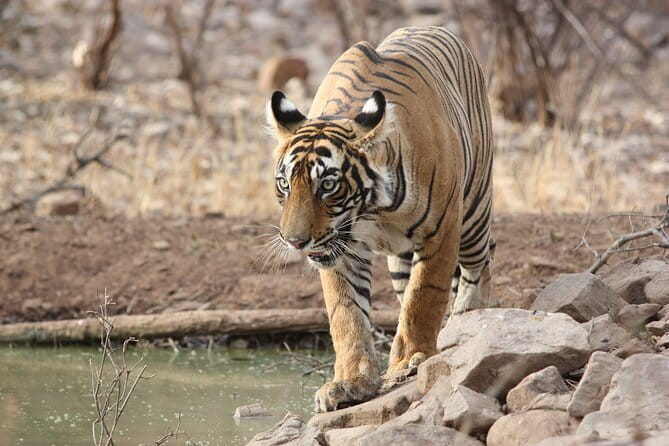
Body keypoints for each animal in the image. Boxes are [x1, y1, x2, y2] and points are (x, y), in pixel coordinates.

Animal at [266, 26, 494, 413]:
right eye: (285, 184)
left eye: (328, 185)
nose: (295, 241)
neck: (372, 209)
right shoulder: (341, 251)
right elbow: (347, 315)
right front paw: (349, 383)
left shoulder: (442, 231)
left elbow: (425, 296)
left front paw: (414, 358)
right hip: (400, 259)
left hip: (474, 217)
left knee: (480, 269)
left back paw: (468, 321)